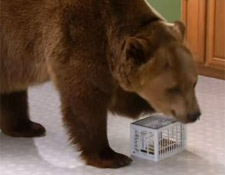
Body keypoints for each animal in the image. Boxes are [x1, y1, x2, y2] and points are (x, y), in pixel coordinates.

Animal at [0, 0, 200, 168]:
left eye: (193, 83)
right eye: (173, 88)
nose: (194, 114)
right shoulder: (77, 39)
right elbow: (86, 101)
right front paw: (112, 157)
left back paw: (29, 127)